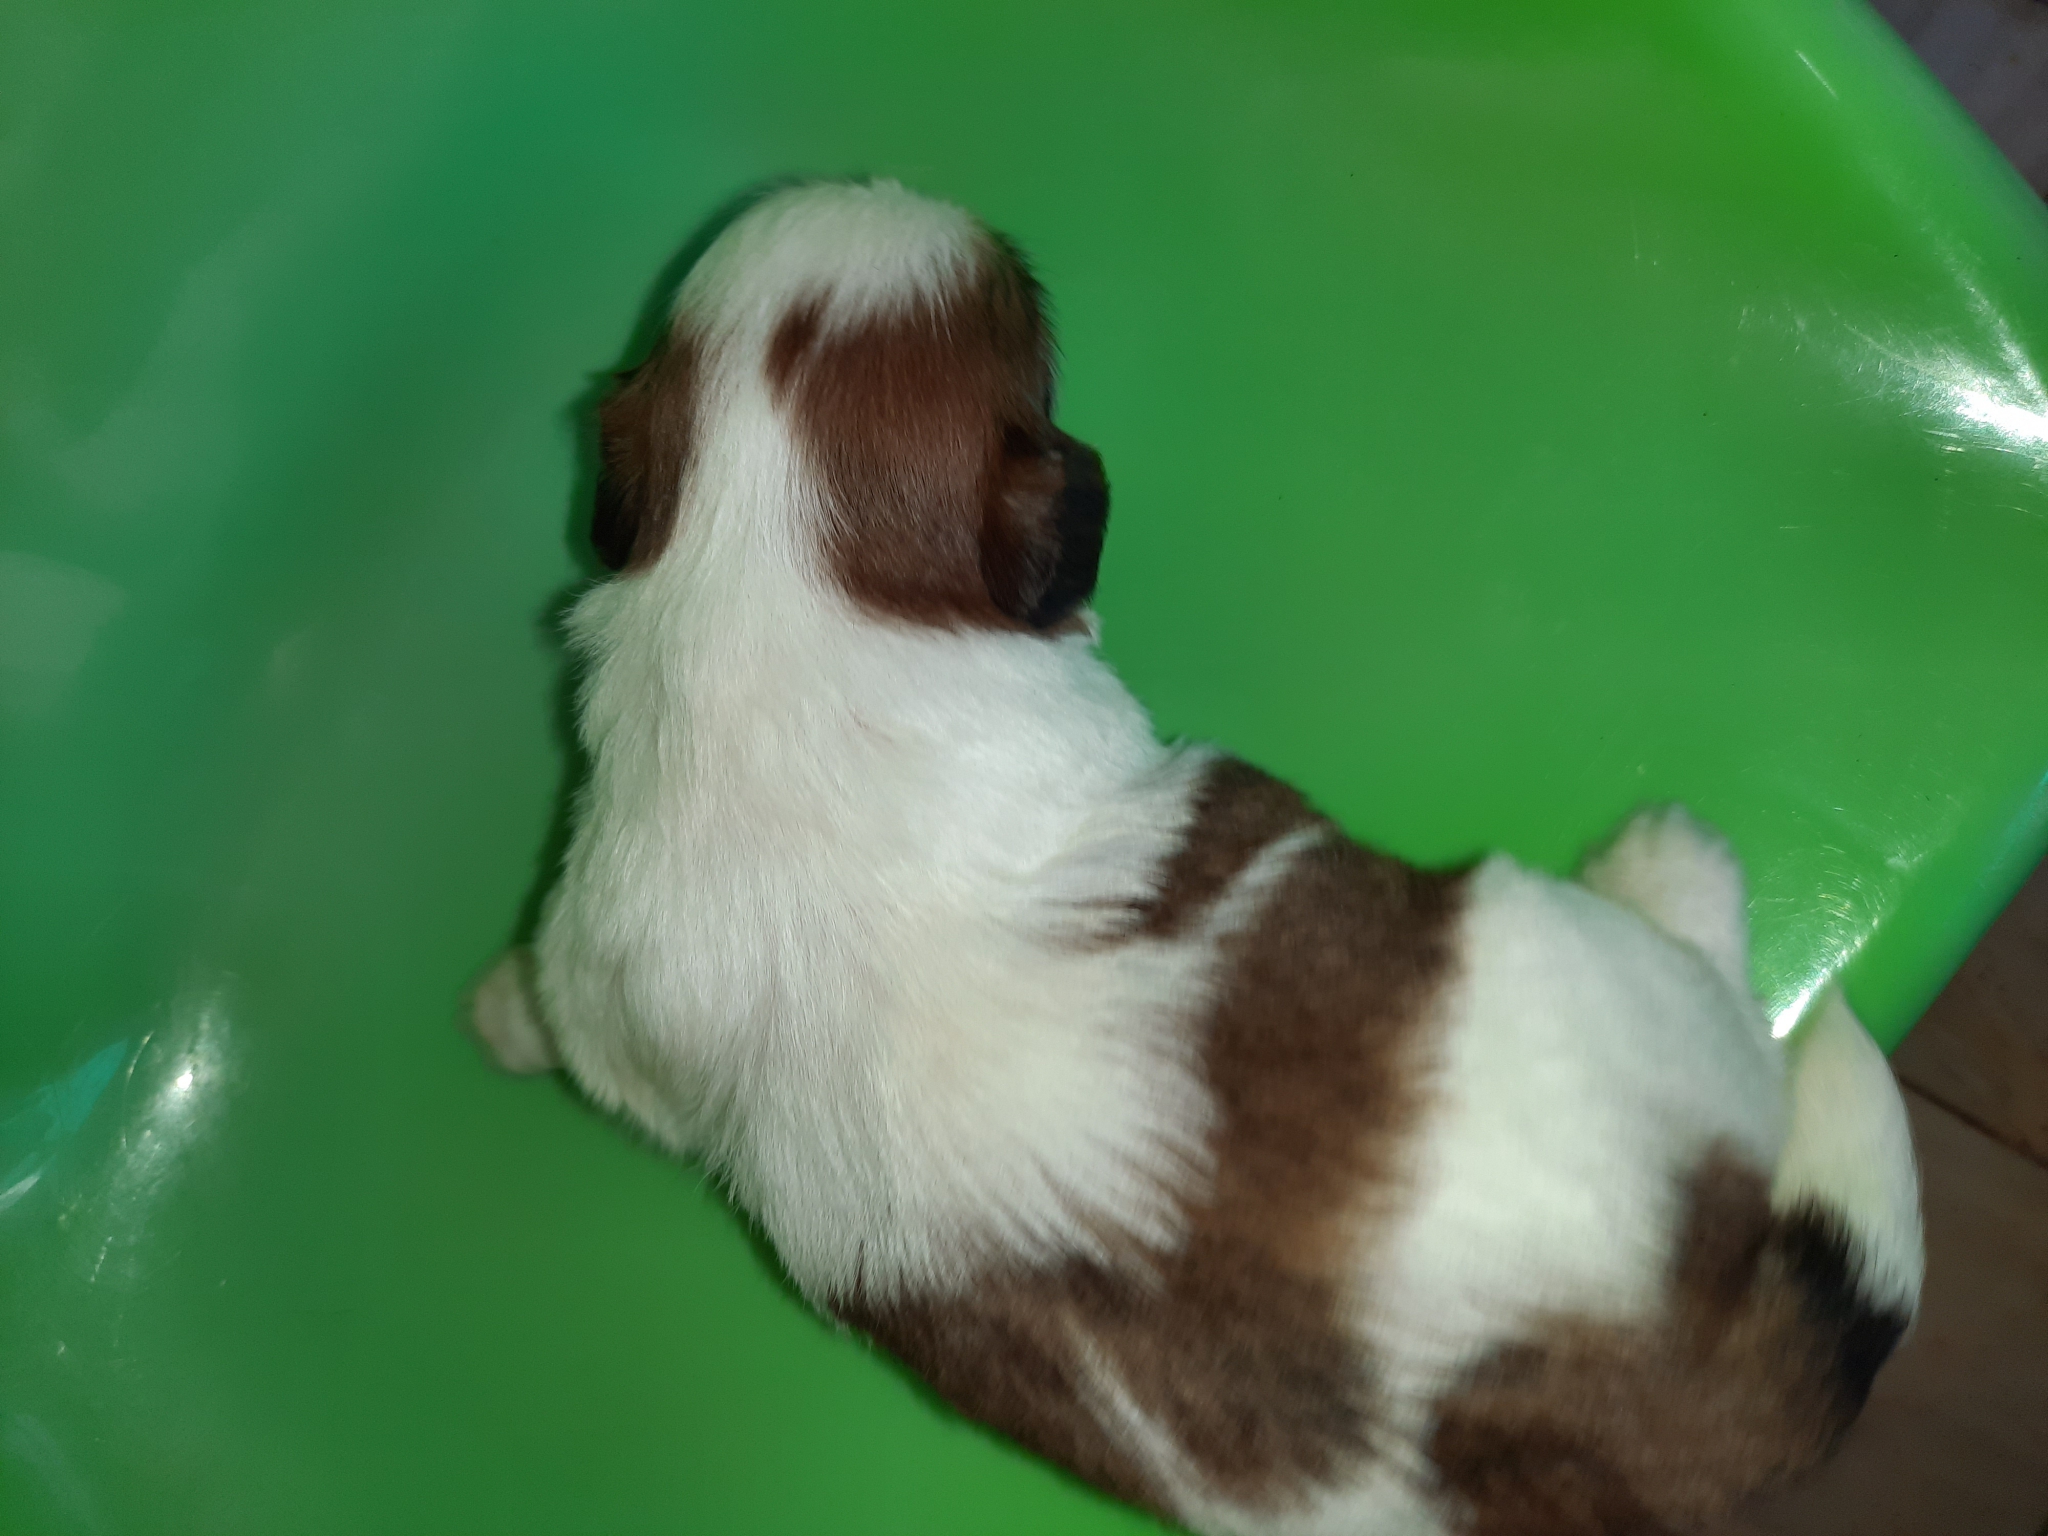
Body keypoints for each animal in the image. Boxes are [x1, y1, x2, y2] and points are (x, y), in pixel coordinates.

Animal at [473, 179, 1923, 1535]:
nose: (901, 181)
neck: (780, 556)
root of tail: (1642, 1377)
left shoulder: (605, 959)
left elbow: (566, 1011)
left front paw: (491, 1012)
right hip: (1584, 962)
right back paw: (1670, 863)